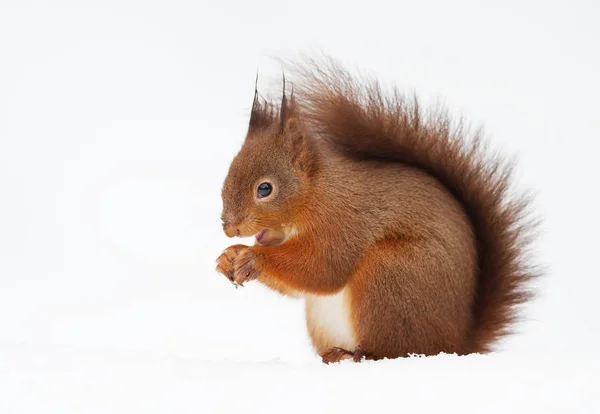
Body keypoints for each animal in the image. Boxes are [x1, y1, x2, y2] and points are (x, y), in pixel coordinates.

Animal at [217, 58, 540, 362]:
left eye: (265, 189)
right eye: (228, 174)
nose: (229, 228)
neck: (316, 193)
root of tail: (457, 345)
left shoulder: (342, 222)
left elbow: (321, 268)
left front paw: (252, 258)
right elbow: (300, 287)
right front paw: (228, 257)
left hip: (388, 276)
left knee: (394, 349)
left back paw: (357, 354)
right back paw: (333, 355)